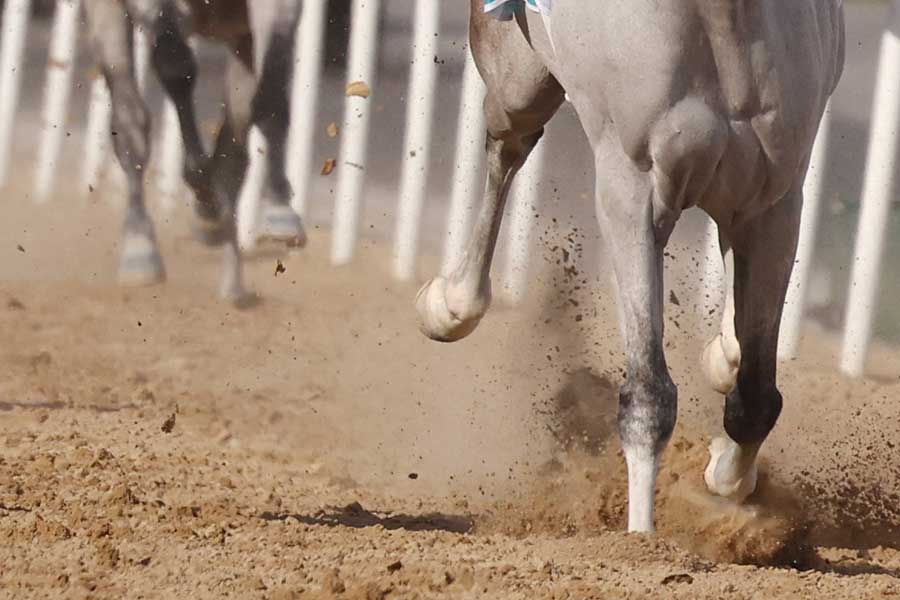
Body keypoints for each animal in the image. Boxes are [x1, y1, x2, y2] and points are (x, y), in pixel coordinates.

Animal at [83, 0, 306, 303]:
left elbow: (267, 95)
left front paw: (278, 211)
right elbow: (176, 67)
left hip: (236, 34)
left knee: (244, 128)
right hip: (107, 18)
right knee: (130, 123)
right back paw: (140, 246)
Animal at [416, 0, 845, 532]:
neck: (721, 20)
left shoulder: (773, 207)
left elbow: (757, 400)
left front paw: (726, 479)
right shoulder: (632, 192)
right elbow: (648, 396)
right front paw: (642, 534)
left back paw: (725, 351)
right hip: (518, 78)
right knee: (509, 142)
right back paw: (449, 306)